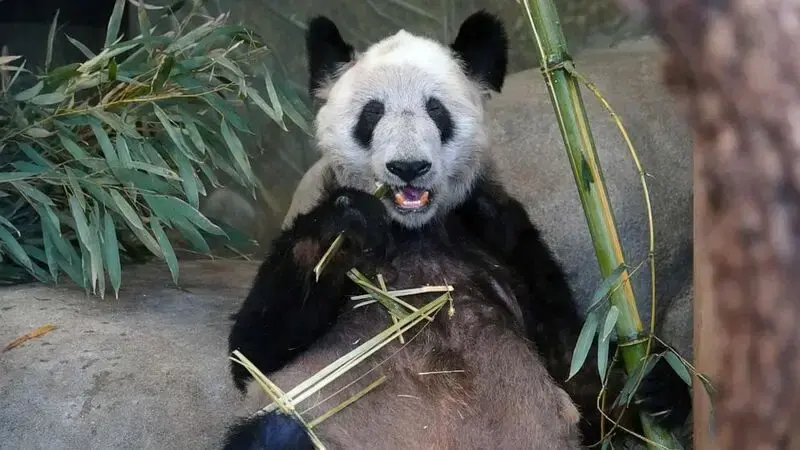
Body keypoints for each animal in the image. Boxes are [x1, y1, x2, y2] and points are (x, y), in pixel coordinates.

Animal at [222, 10, 692, 450]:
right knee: (277, 433)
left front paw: (658, 379)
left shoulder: (499, 234)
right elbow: (254, 349)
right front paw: (347, 225)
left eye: (436, 109)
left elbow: (578, 368)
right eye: (372, 113)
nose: (408, 167)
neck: (413, 230)